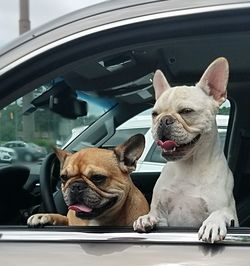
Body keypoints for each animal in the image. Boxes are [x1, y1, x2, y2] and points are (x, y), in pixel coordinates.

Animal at [133, 57, 238, 243]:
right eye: (155, 114)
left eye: (187, 111)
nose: (164, 120)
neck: (188, 165)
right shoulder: (163, 215)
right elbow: (155, 214)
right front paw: (146, 217)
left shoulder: (227, 211)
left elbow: (220, 213)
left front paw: (212, 224)